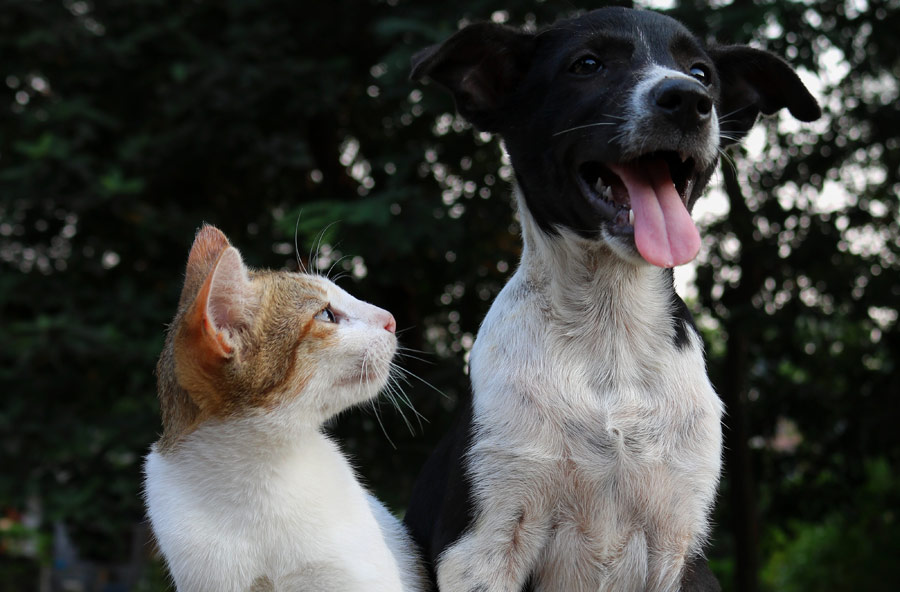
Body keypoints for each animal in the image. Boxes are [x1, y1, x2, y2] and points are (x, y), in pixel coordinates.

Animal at [404, 5, 820, 592]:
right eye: (588, 64)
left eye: (701, 72)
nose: (688, 100)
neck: (610, 333)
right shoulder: (482, 546)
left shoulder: (681, 547)